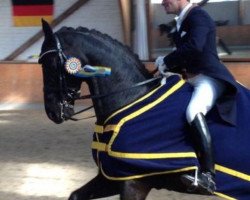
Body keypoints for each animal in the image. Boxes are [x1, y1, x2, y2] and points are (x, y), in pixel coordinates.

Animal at [38, 19, 250, 200]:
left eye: (51, 63)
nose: (52, 111)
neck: (131, 95)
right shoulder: (112, 177)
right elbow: (75, 195)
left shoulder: (134, 182)